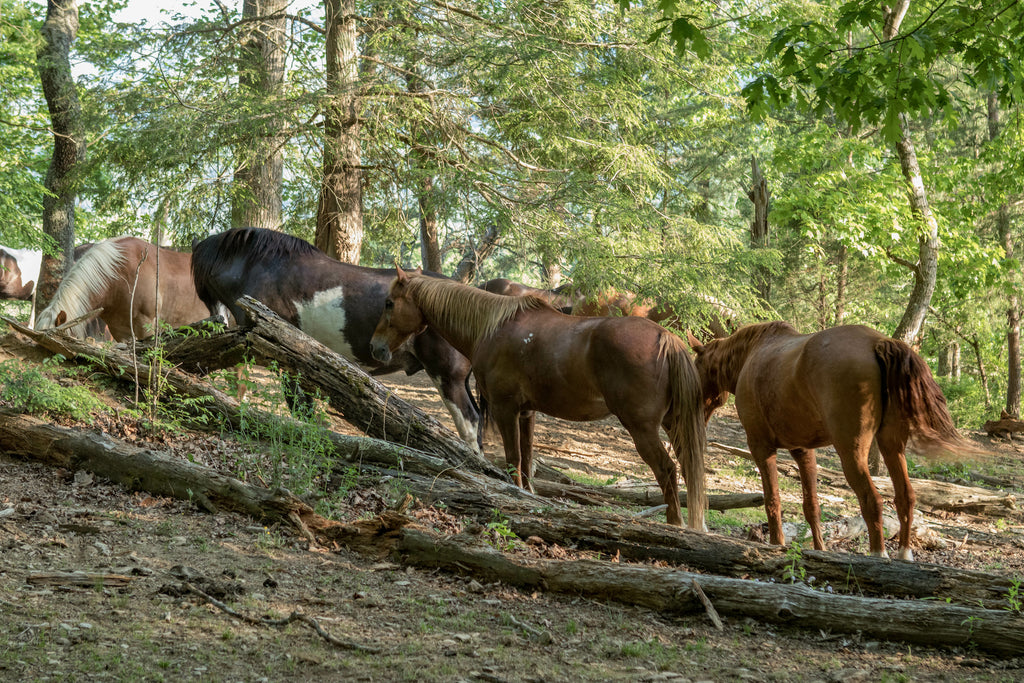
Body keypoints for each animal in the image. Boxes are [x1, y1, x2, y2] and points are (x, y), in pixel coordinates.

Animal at [372, 266, 708, 528]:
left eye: (389, 303)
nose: (376, 347)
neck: (492, 328)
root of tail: (665, 337)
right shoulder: (526, 413)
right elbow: (527, 459)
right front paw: (528, 496)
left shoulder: (506, 409)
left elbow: (513, 459)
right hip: (673, 424)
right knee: (689, 469)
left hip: (642, 428)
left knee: (667, 470)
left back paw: (676, 524)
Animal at [688, 321, 974, 561]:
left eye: (695, 367)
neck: (751, 355)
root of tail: (877, 342)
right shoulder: (803, 451)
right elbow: (811, 506)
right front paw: (819, 550)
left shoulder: (761, 448)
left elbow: (772, 501)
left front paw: (776, 544)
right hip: (892, 447)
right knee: (905, 497)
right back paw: (904, 554)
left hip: (851, 452)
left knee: (872, 500)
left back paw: (878, 555)